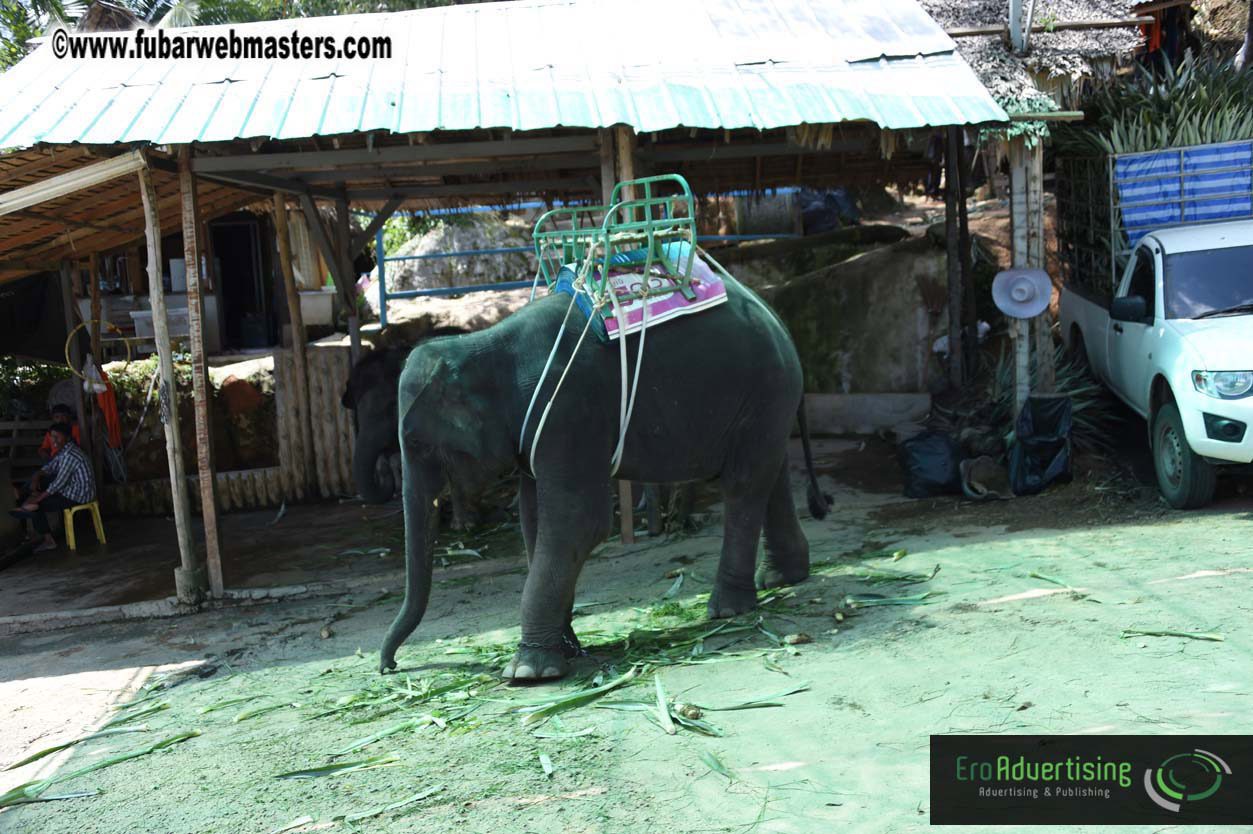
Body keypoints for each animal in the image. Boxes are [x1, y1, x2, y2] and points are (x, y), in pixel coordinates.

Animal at [379, 276, 831, 681]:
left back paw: (728, 609)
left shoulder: (568, 412)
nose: (389, 666)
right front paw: (567, 650)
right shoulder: (535, 435)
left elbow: (579, 522)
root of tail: (776, 316)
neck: (485, 345)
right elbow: (535, 524)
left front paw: (528, 672)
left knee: (743, 484)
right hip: (766, 402)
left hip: (761, 391)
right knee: (768, 475)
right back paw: (780, 578)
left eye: (415, 442)